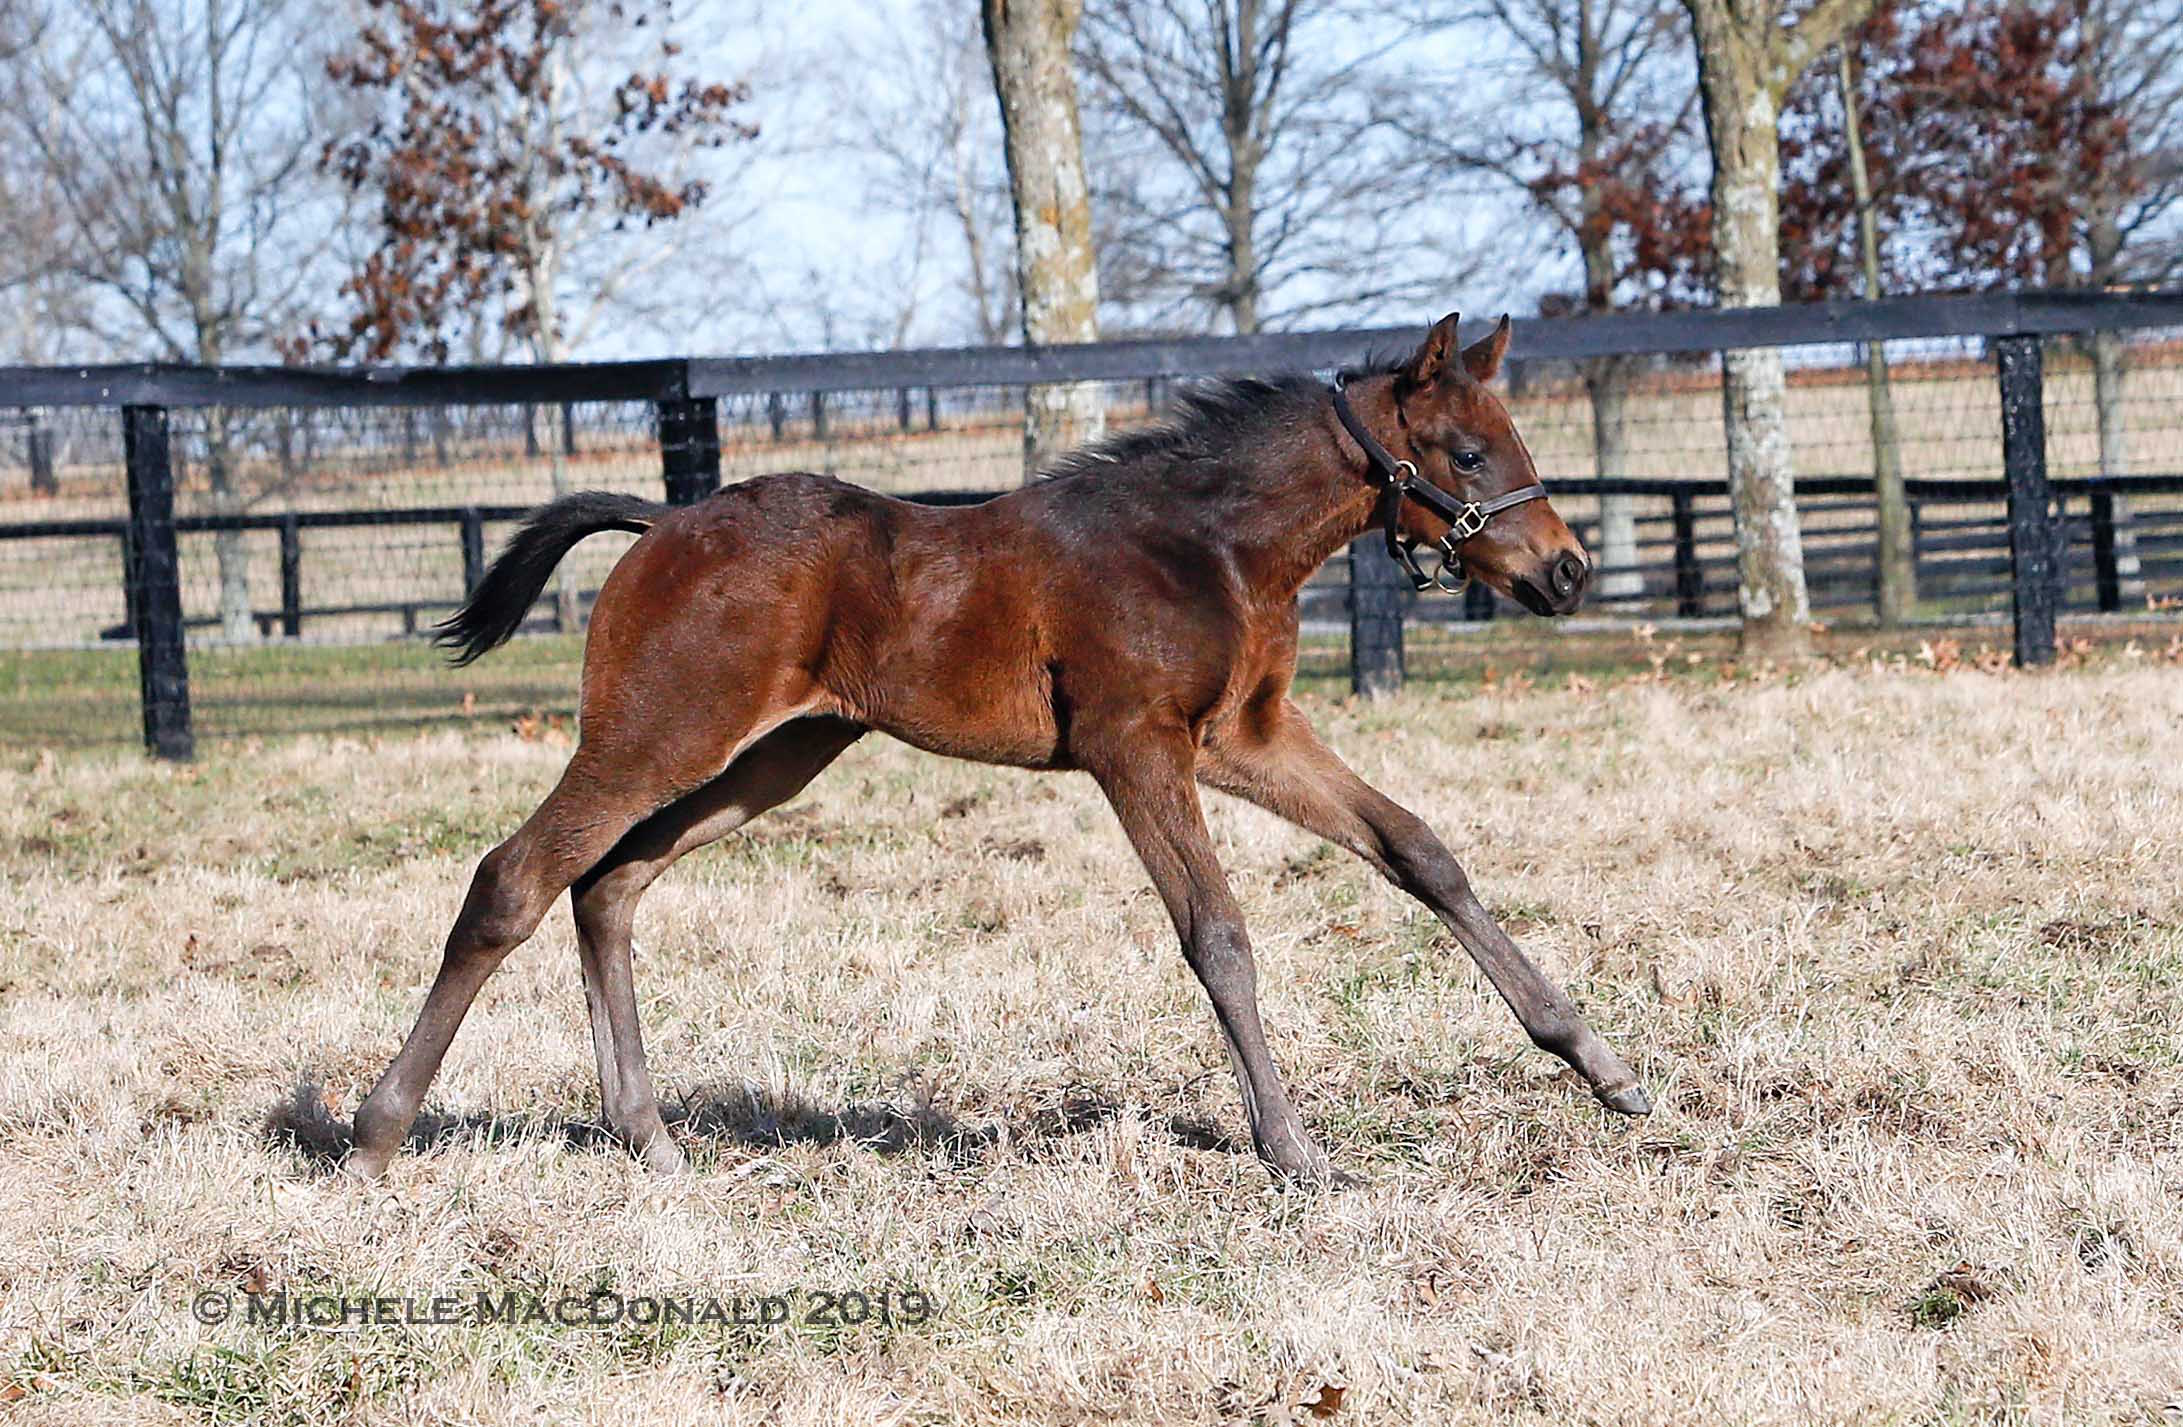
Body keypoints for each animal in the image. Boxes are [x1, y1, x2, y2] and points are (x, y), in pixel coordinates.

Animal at [349, 316, 1641, 1195]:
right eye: (1466, 452)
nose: (1565, 571)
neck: (1207, 546)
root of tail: (662, 522)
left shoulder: (1246, 736)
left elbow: (1419, 851)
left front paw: (1599, 1062)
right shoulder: (1134, 747)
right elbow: (1217, 934)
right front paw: (1291, 1149)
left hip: (777, 754)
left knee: (609, 882)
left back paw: (650, 1135)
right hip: (657, 731)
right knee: (516, 877)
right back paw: (374, 1129)